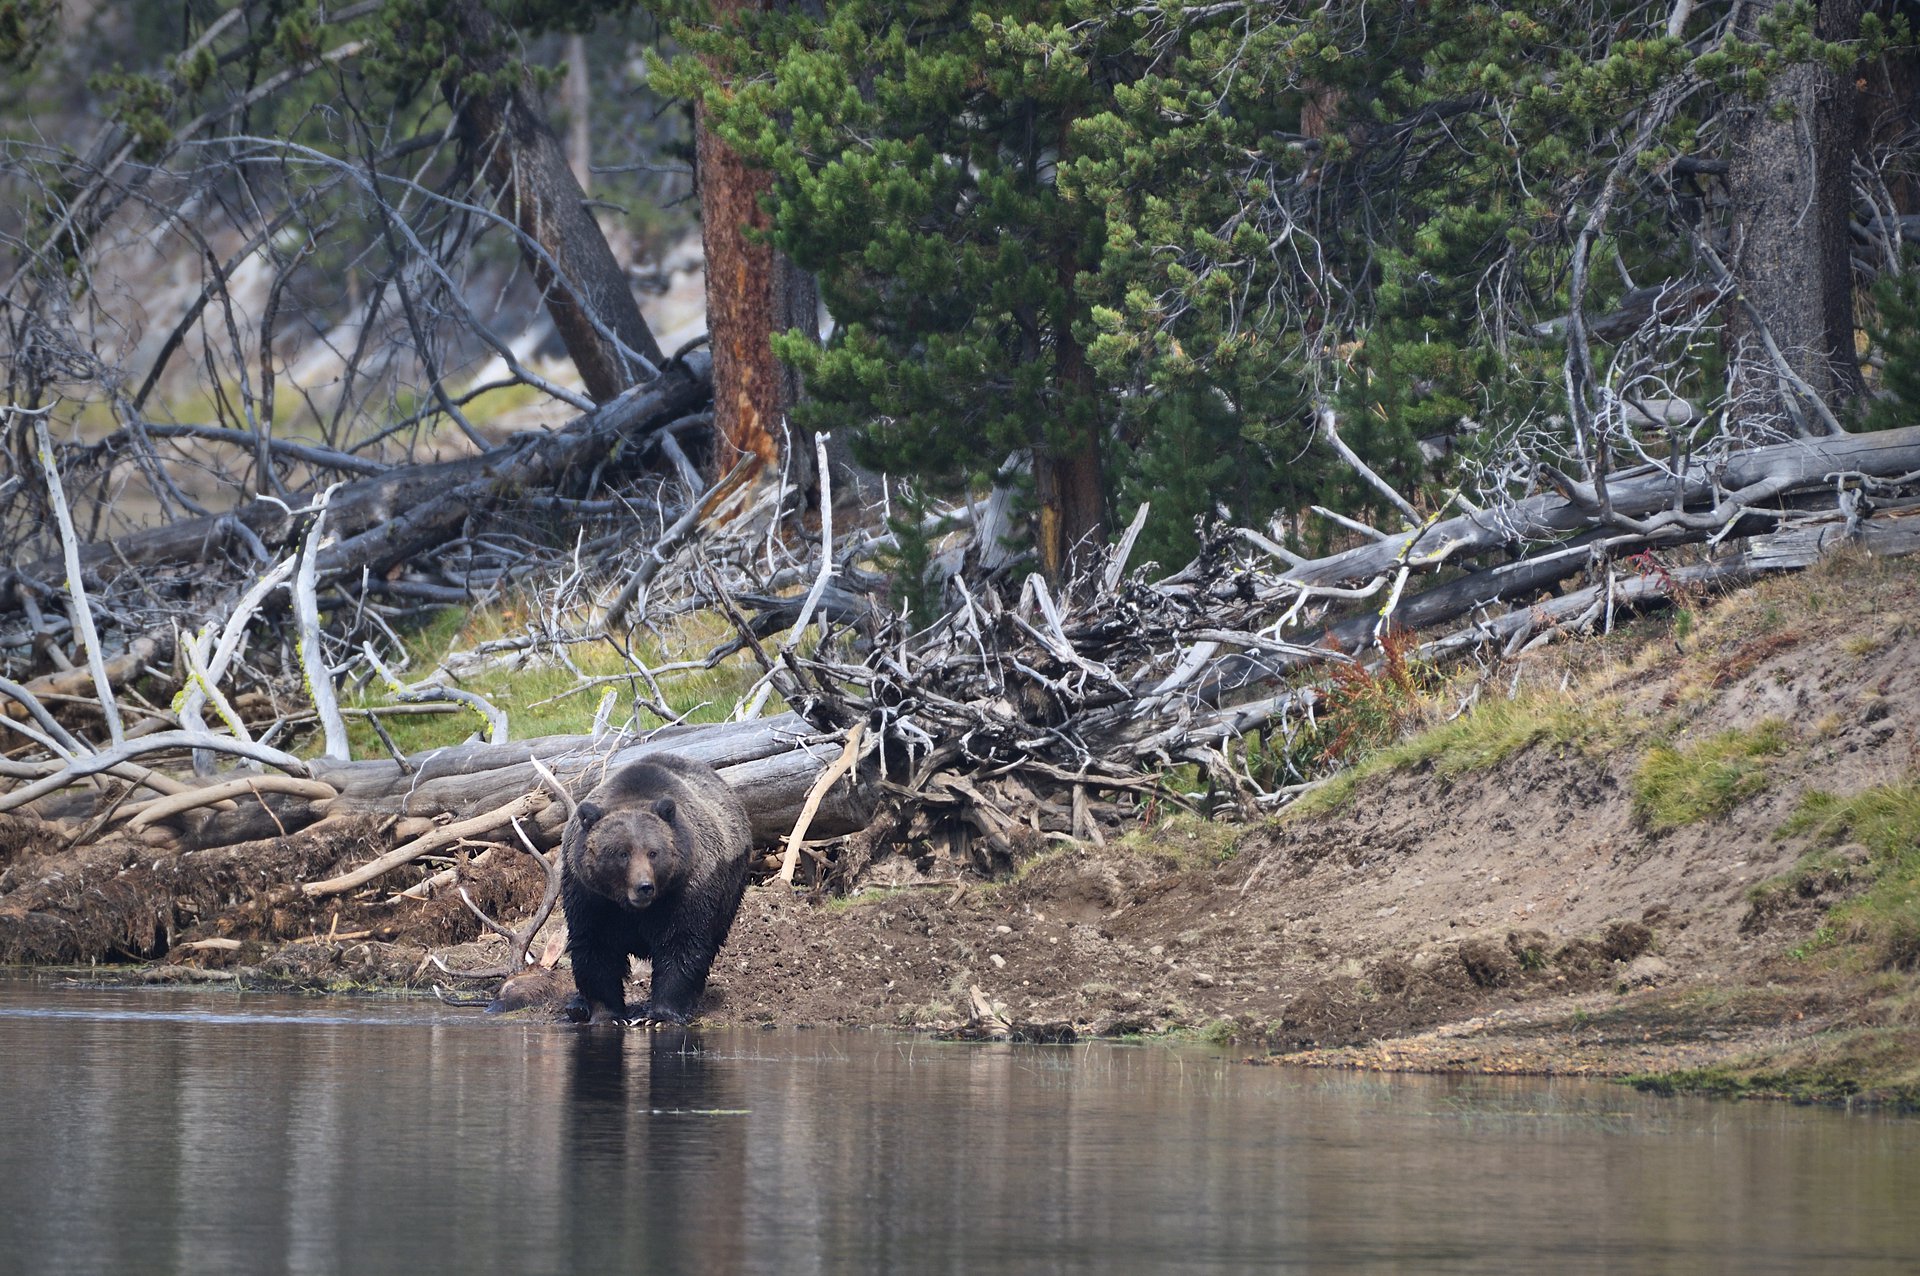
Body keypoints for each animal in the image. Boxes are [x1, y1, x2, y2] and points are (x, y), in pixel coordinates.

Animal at [559, 754, 754, 1025]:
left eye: (653, 852)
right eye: (622, 853)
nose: (644, 887)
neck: (632, 908)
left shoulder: (687, 889)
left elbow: (681, 944)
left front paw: (662, 1015)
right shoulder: (591, 896)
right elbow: (595, 947)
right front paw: (608, 1014)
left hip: (730, 887)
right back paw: (577, 1006)